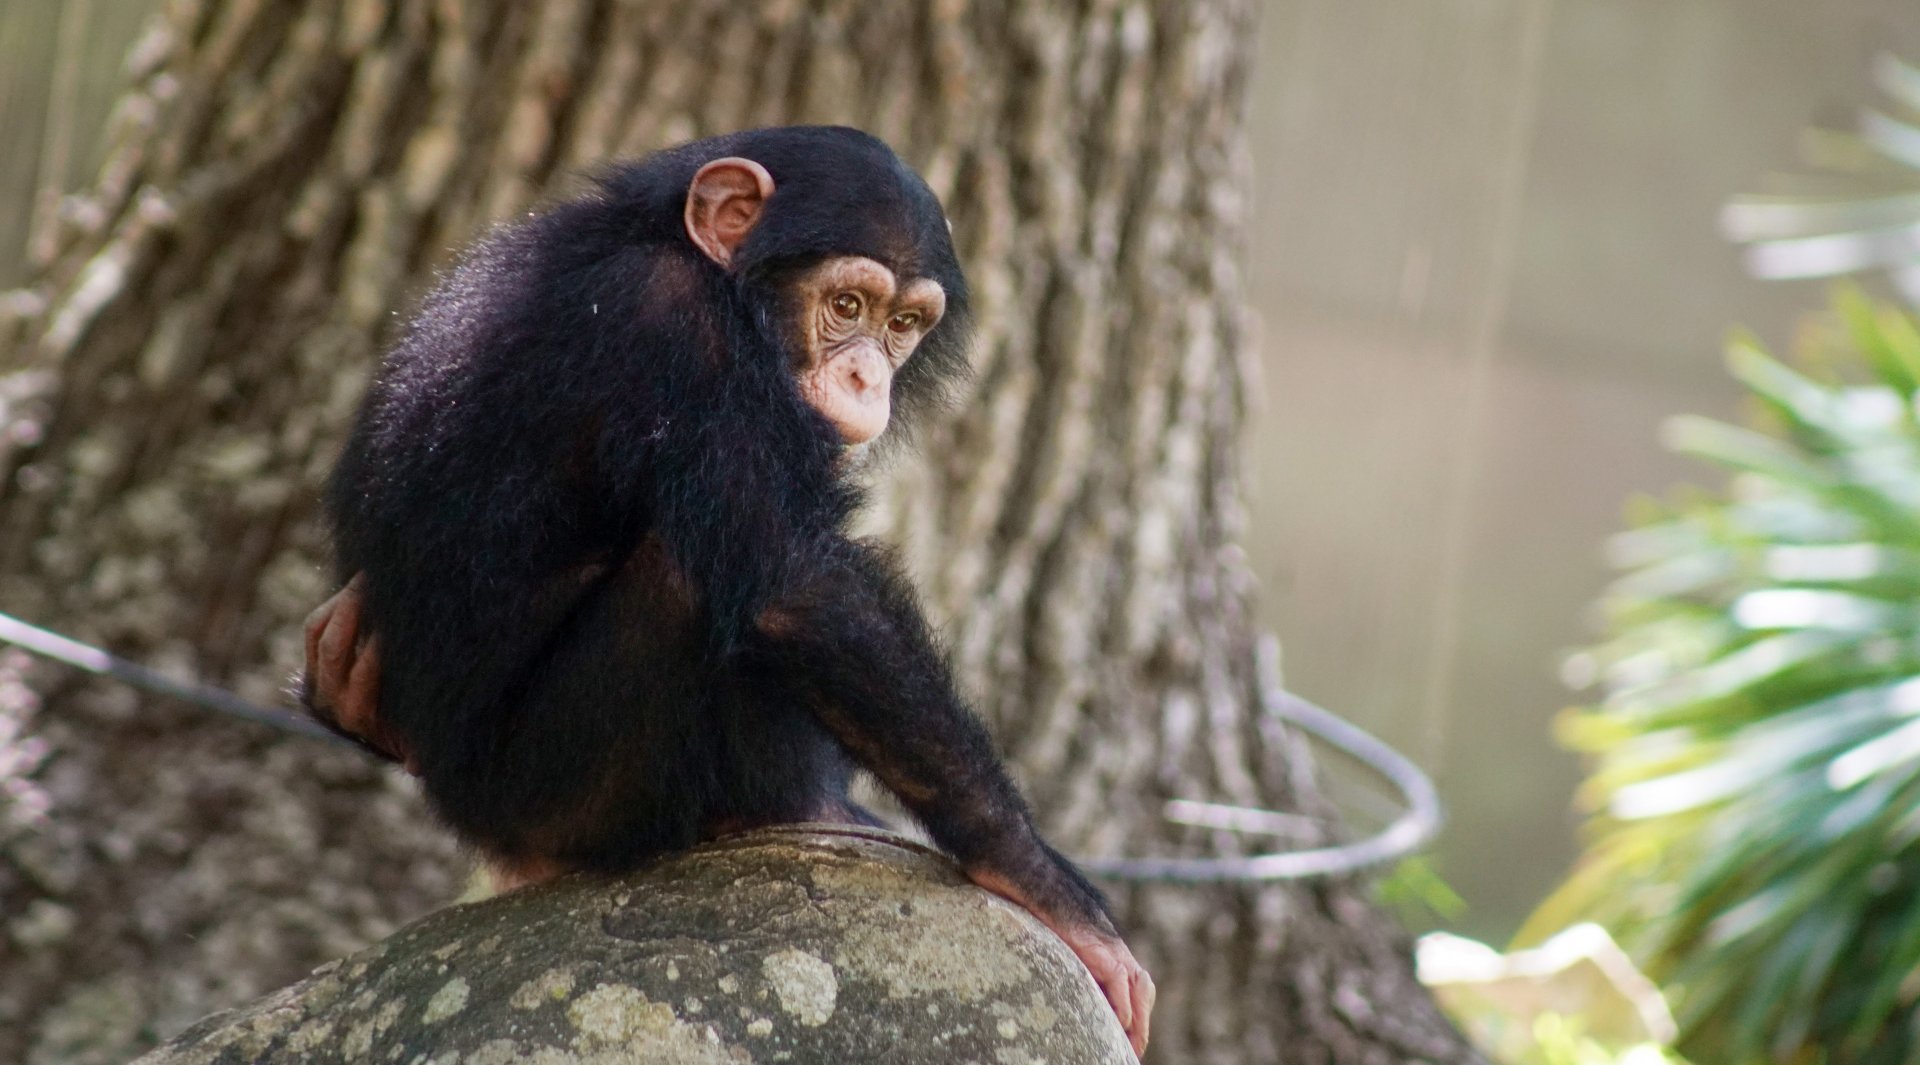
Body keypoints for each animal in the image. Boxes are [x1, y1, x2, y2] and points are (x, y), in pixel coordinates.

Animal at [302, 127, 1152, 1051]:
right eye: (846, 305)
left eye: (902, 324)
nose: (868, 378)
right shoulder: (679, 330)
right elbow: (795, 586)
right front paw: (1044, 881)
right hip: (557, 791)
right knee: (693, 578)